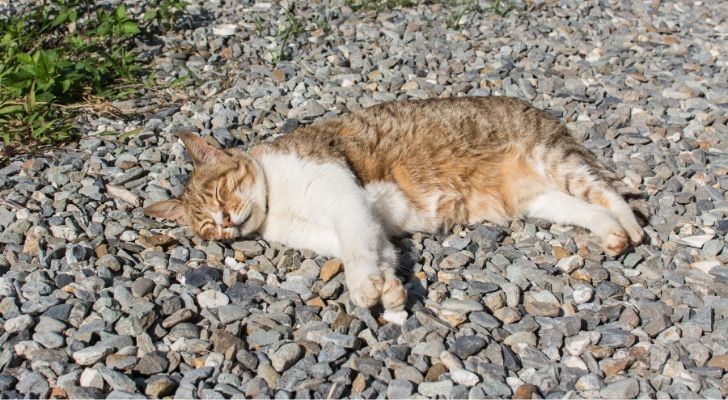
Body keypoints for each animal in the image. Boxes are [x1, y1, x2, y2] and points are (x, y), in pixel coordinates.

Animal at [145, 96, 644, 310]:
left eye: (219, 193)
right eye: (206, 227)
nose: (226, 220)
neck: (275, 203)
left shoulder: (341, 192)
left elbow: (356, 249)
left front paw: (365, 287)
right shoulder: (344, 225)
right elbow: (369, 248)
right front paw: (385, 285)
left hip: (554, 158)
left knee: (610, 192)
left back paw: (632, 228)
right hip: (539, 199)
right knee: (587, 209)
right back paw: (612, 235)